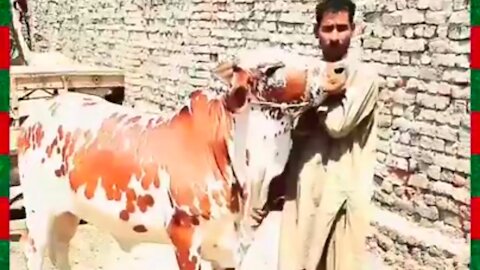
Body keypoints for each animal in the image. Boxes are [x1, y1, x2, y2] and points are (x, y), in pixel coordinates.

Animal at [17, 48, 334, 270]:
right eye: (273, 68)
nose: (333, 71)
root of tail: (39, 111)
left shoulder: (227, 248)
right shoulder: (184, 238)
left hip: (67, 213)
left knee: (59, 249)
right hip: (38, 211)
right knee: (32, 248)